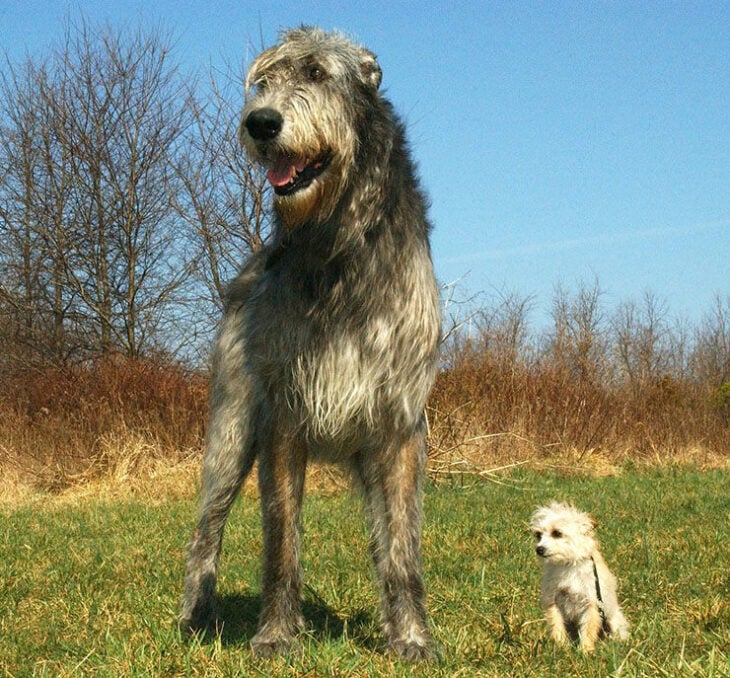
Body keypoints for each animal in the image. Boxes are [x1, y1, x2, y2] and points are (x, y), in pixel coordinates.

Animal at [179, 27, 440, 664]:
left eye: (319, 73)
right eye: (263, 82)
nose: (261, 123)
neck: (337, 244)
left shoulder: (399, 425)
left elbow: (402, 548)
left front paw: (412, 636)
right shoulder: (282, 419)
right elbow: (281, 542)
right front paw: (276, 635)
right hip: (230, 431)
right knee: (206, 529)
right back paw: (198, 615)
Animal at [528, 504, 624, 652]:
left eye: (557, 533)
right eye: (538, 535)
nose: (539, 549)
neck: (568, 564)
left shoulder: (591, 603)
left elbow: (588, 629)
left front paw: (585, 651)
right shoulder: (552, 602)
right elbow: (556, 626)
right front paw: (561, 646)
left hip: (614, 620)